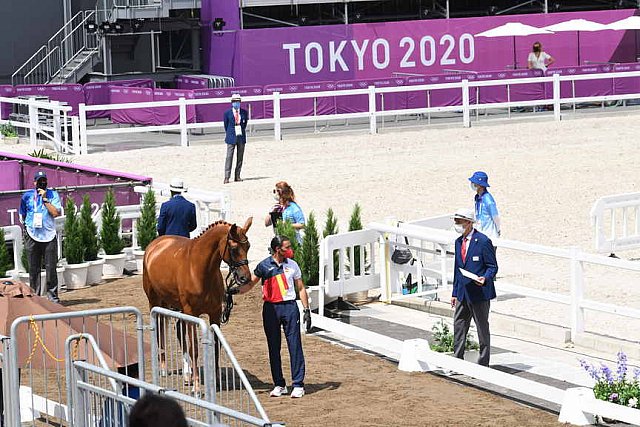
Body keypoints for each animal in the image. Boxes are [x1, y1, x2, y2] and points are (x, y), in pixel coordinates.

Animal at [142, 217, 252, 392]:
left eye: (248, 246)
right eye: (234, 248)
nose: (245, 278)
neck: (199, 269)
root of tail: (155, 244)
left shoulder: (215, 313)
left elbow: (216, 345)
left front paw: (215, 380)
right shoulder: (192, 313)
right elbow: (194, 348)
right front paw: (196, 386)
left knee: (179, 331)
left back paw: (187, 374)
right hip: (155, 302)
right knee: (160, 330)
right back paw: (164, 368)